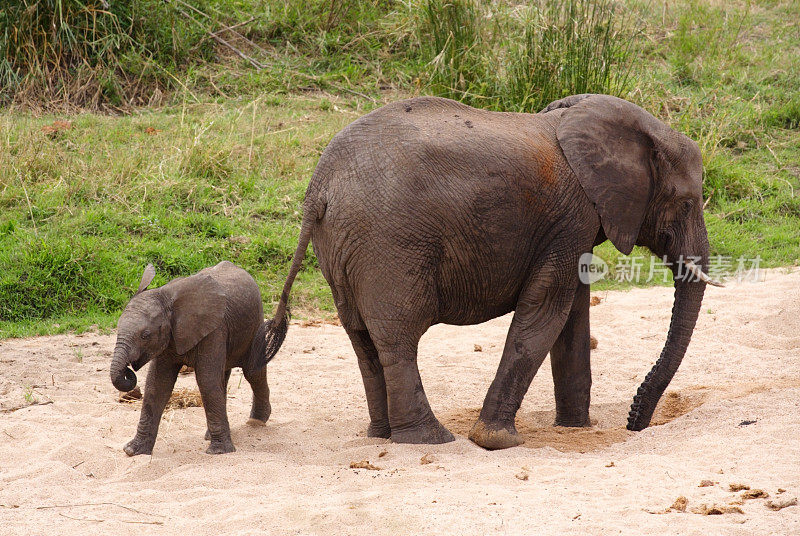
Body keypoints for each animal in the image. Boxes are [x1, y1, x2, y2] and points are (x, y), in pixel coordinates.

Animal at [109, 262, 284, 454]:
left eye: (145, 335)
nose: (128, 370)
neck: (166, 297)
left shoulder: (214, 331)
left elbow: (206, 380)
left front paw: (218, 452)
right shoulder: (169, 339)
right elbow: (157, 384)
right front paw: (133, 451)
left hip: (254, 326)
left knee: (252, 373)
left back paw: (256, 422)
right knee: (223, 378)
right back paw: (211, 434)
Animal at [266, 95, 720, 448]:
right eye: (685, 203)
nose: (635, 425)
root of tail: (319, 187)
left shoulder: (571, 225)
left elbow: (571, 316)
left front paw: (574, 429)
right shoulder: (570, 219)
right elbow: (546, 312)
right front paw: (495, 440)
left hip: (342, 247)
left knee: (362, 338)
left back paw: (381, 435)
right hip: (389, 243)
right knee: (397, 336)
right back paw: (428, 440)